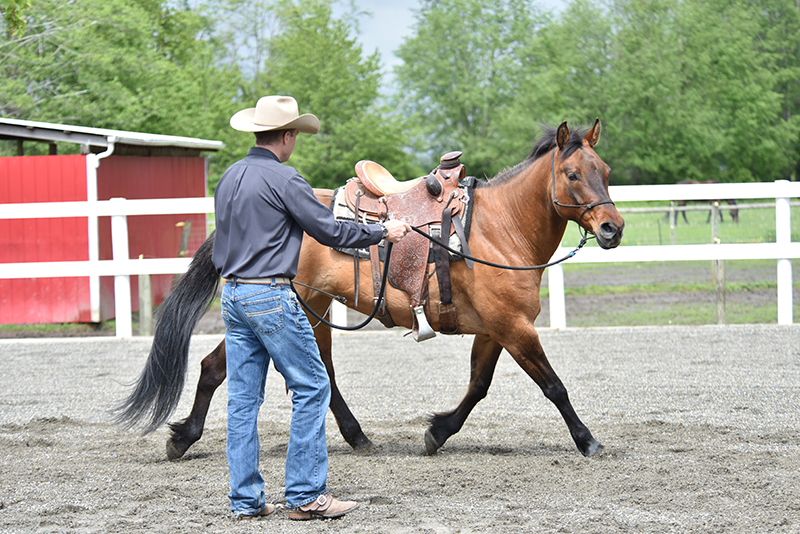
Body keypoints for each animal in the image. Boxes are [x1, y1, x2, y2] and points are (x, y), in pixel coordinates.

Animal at [113, 119, 625, 461]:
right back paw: (183, 438)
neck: (495, 230)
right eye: (573, 174)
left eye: (605, 169)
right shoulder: (513, 327)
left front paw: (438, 432)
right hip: (292, 310)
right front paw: (588, 440)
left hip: (312, 310)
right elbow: (554, 386)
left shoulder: (495, 329)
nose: (613, 228)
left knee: (320, 375)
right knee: (215, 367)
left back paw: (356, 435)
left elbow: (478, 386)